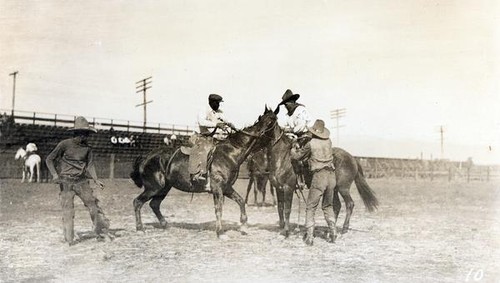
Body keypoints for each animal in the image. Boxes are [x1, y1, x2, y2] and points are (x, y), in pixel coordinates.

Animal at [131, 107, 280, 239]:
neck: (230, 152)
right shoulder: (218, 188)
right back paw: (140, 228)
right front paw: (220, 233)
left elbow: (241, 201)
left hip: (164, 188)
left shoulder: (226, 188)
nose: (279, 136)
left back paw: (165, 224)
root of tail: (146, 157)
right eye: (270, 121)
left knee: (154, 204)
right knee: (137, 202)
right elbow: (219, 209)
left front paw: (243, 226)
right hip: (154, 187)